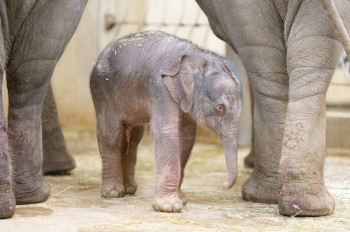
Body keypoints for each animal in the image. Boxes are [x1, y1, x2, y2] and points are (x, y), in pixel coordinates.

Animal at [90, 31, 242, 214]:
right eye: (220, 108)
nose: (225, 185)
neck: (196, 55)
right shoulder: (160, 88)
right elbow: (166, 131)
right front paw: (169, 207)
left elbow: (186, 137)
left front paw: (182, 200)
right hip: (102, 92)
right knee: (111, 134)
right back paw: (113, 193)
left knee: (133, 139)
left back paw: (129, 189)